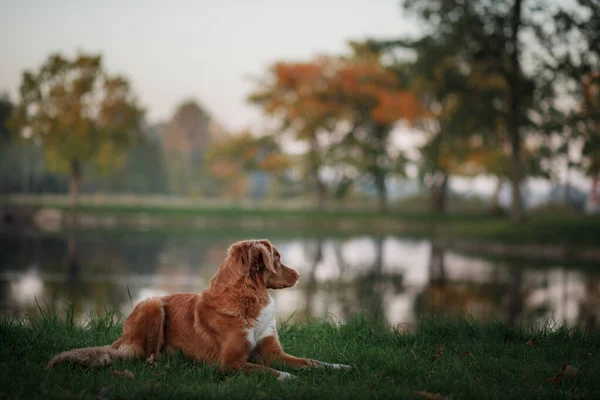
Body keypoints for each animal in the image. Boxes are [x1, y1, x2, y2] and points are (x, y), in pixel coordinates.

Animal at [49, 239, 354, 380]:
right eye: (276, 258)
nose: (300, 275)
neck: (249, 297)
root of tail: (121, 339)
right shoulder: (230, 362)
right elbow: (264, 369)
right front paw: (287, 377)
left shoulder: (272, 352)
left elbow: (310, 361)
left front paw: (339, 367)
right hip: (152, 303)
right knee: (146, 355)